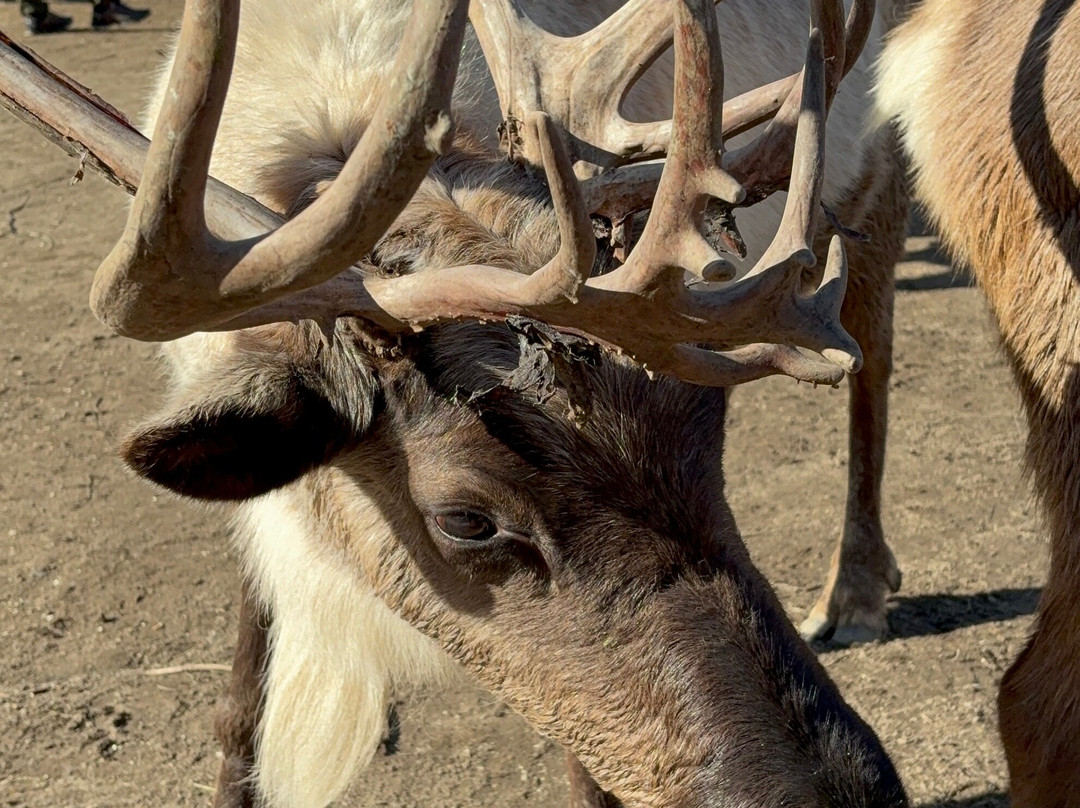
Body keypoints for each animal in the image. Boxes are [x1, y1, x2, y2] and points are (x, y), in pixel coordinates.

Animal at [0, 0, 914, 805]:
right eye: (467, 520)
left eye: (711, 429)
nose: (849, 794)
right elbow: (242, 693)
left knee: (871, 340)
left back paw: (857, 589)